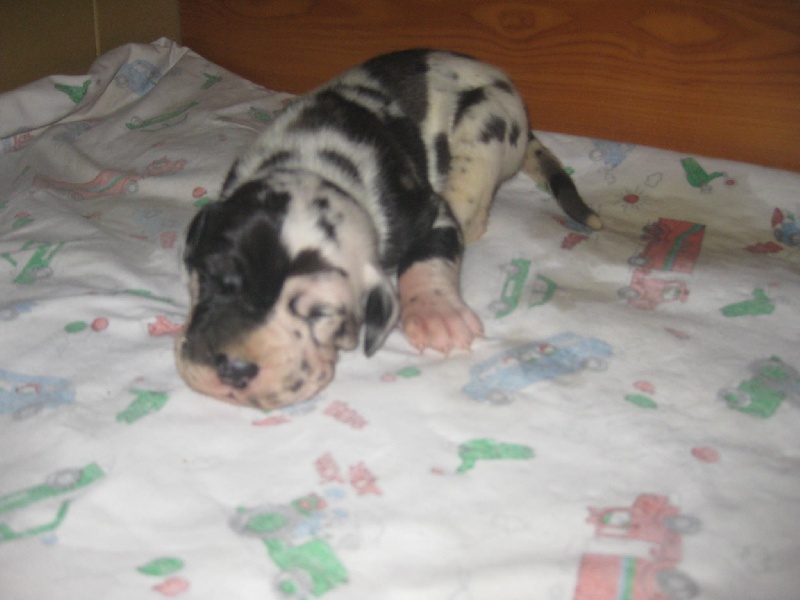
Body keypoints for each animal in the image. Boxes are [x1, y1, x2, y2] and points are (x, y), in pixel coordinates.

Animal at [175, 49, 601, 409]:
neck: (313, 162)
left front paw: (435, 311)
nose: (234, 368)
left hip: (484, 128)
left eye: (321, 313)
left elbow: (427, 256)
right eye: (209, 277)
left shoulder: (428, 211)